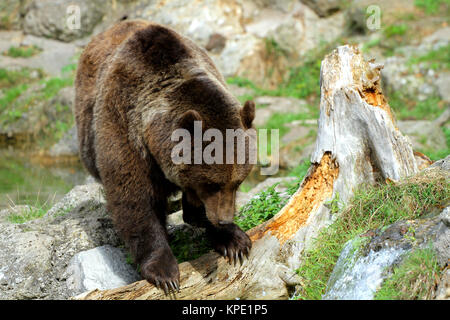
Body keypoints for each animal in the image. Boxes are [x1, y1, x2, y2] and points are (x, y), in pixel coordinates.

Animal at [75, 20, 255, 294]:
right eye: (212, 184)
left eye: (238, 182)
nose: (224, 220)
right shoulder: (124, 125)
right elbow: (135, 200)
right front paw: (164, 272)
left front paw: (234, 240)